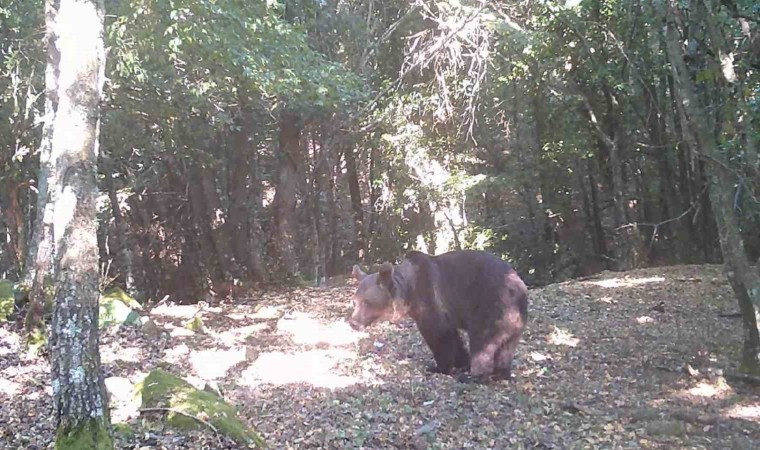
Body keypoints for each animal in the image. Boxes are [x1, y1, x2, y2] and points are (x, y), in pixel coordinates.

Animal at [350, 250, 528, 384]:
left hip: (491, 306)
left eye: (367, 302)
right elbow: (453, 336)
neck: (409, 292)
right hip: (513, 318)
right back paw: (501, 373)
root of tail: (520, 289)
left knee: (482, 342)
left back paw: (474, 377)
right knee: (506, 346)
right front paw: (462, 361)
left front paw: (439, 367)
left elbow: (439, 335)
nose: (353, 322)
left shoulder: (430, 299)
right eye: (355, 301)